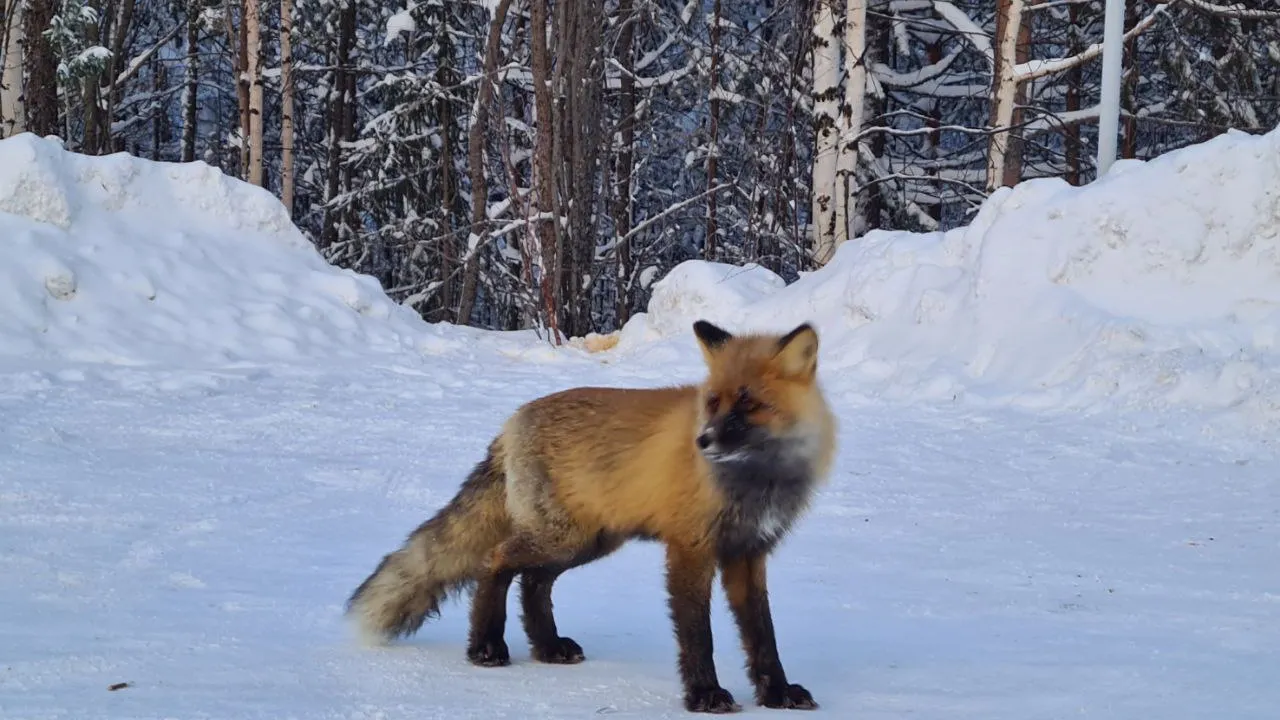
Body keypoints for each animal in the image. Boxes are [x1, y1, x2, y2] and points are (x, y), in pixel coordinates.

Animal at [345, 320, 839, 712]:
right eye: (713, 402)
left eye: (748, 403)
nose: (703, 441)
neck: (755, 482)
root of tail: (512, 421)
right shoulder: (690, 549)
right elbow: (698, 635)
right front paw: (704, 695)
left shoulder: (748, 553)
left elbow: (762, 635)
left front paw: (777, 693)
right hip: (563, 537)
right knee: (496, 561)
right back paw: (486, 645)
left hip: (587, 542)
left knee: (533, 582)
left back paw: (546, 646)